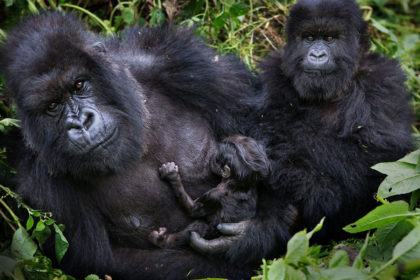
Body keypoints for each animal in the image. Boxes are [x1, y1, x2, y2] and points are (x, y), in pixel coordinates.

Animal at [0, 12, 260, 280]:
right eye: (52, 106)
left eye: (79, 85)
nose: (81, 124)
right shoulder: (35, 183)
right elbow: (104, 262)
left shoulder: (180, 59)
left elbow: (258, 122)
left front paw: (253, 235)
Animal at [192, 0, 416, 266]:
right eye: (309, 38)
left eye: (329, 38)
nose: (317, 55)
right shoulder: (274, 72)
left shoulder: (383, 80)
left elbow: (377, 157)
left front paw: (251, 154)